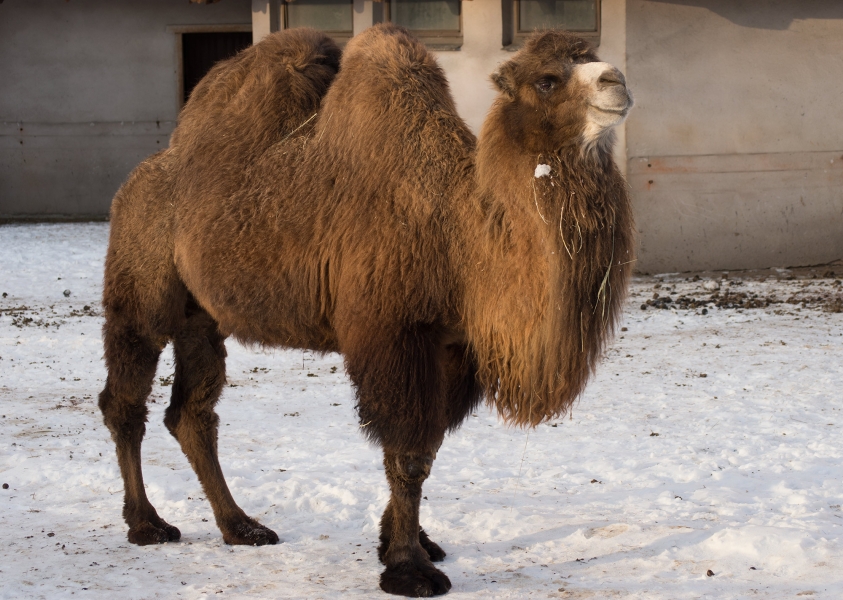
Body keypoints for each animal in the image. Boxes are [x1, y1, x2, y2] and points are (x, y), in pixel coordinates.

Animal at [99, 23, 632, 596]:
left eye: (592, 57)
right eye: (547, 80)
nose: (616, 81)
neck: (459, 234)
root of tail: (136, 180)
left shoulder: (452, 346)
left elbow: (427, 447)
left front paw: (409, 543)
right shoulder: (393, 335)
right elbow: (408, 454)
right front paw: (408, 568)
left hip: (202, 317)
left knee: (192, 414)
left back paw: (242, 527)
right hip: (141, 287)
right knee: (125, 397)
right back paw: (147, 524)